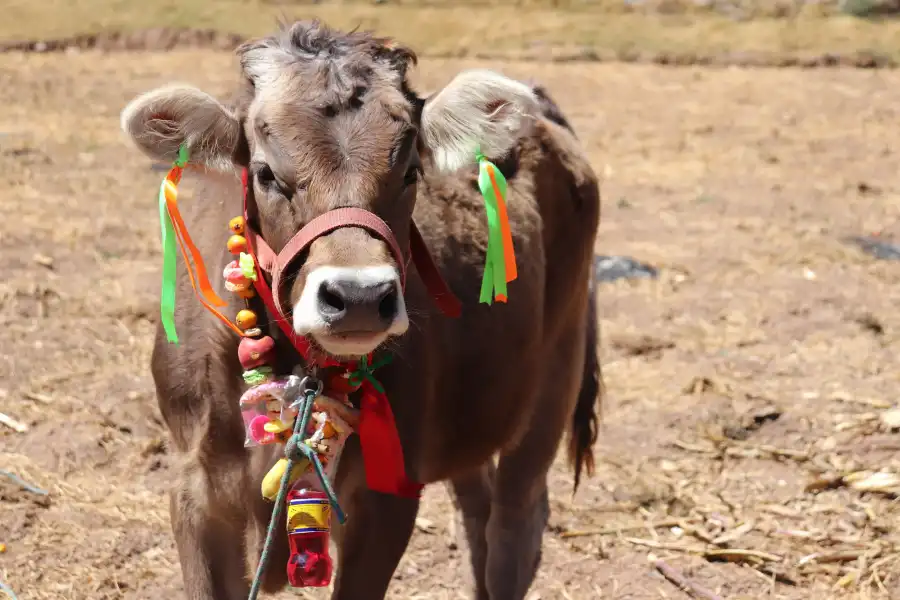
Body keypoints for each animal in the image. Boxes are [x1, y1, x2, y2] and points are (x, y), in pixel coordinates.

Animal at [118, 18, 596, 600]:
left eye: (411, 172)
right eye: (265, 173)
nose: (360, 297)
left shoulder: (388, 492)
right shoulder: (196, 487)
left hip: (555, 375)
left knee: (515, 521)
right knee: (478, 509)